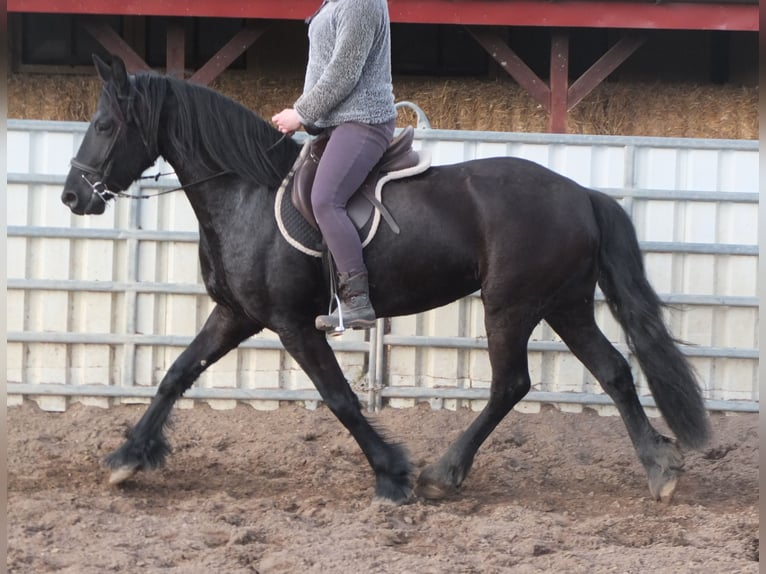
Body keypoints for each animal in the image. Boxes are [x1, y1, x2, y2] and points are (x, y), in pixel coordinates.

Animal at [63, 54, 712, 504]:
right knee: (614, 371)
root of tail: (581, 194)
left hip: (511, 305)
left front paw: (392, 474)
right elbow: (176, 374)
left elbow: (340, 398)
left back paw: (441, 475)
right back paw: (660, 469)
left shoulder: (291, 324)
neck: (245, 194)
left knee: (513, 384)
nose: (73, 196)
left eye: (105, 124)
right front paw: (127, 457)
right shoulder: (237, 314)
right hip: (564, 304)